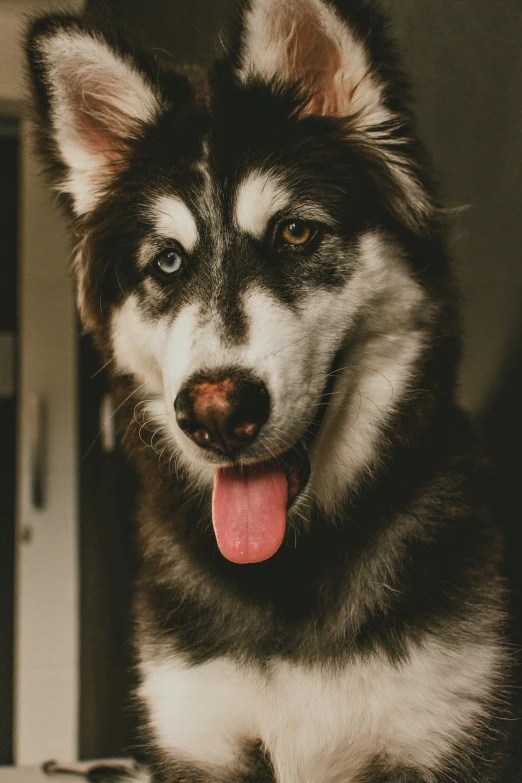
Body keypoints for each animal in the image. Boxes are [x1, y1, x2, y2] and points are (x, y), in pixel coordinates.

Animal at [25, 1, 516, 783]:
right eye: (167, 263)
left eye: (295, 233)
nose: (216, 413)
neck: (291, 576)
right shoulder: (201, 737)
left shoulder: (447, 729)